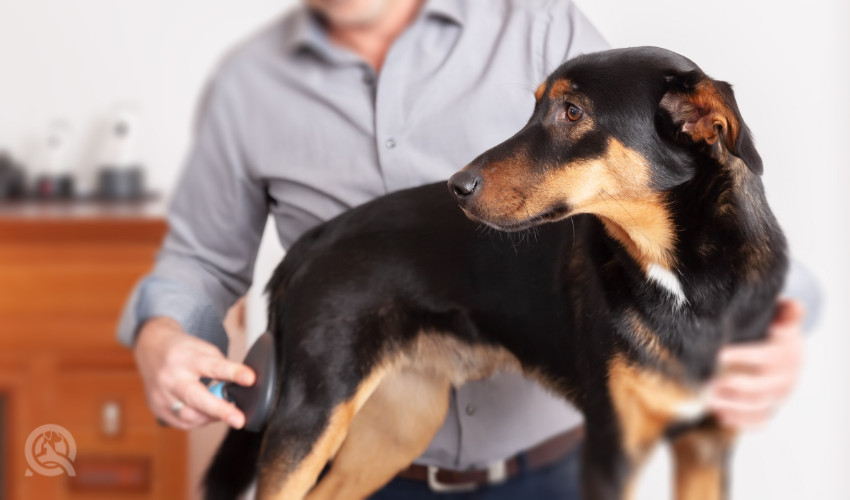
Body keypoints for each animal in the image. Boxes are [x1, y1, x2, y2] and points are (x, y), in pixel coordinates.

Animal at [202, 47, 784, 500]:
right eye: (536, 107)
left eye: (572, 112)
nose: (457, 186)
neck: (688, 282)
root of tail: (314, 238)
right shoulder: (610, 445)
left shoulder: (706, 446)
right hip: (311, 412)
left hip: (396, 425)